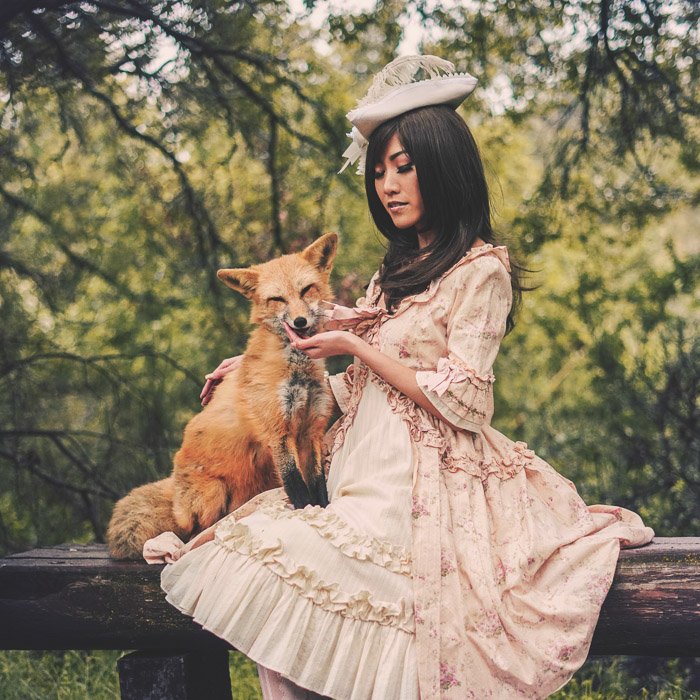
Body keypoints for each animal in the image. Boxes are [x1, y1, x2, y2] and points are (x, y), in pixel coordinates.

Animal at [106, 232, 340, 560]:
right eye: (277, 299)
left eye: (306, 290)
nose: (300, 322)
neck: (297, 372)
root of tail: (172, 485)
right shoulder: (277, 432)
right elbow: (297, 486)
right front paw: (305, 515)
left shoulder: (310, 431)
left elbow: (318, 484)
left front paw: (323, 512)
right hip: (212, 494)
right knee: (192, 529)